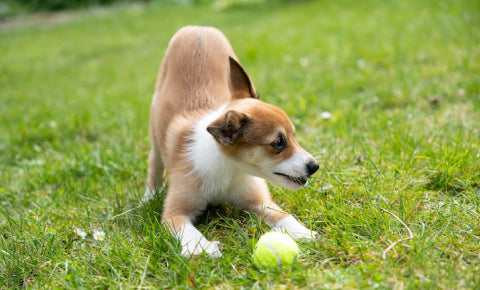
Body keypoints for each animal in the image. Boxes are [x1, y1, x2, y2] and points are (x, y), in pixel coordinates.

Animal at [144, 25, 320, 256]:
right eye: (278, 143)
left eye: (293, 136)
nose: (315, 166)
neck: (229, 169)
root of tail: (198, 28)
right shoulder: (175, 213)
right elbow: (187, 230)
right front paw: (202, 248)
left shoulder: (259, 200)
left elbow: (283, 216)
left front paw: (303, 232)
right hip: (155, 129)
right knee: (154, 162)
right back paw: (149, 195)